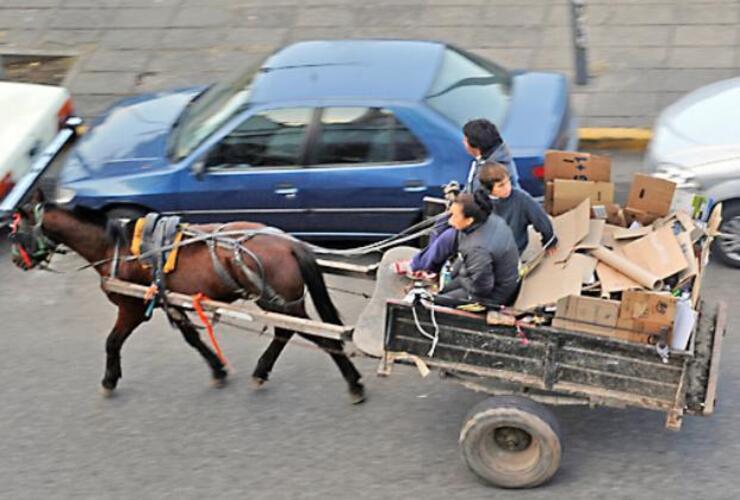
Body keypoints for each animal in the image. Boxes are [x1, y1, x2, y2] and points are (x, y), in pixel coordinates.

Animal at [10, 193, 368, 404]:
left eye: (15, 232)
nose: (16, 261)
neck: (116, 248)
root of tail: (291, 243)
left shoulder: (132, 306)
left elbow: (112, 342)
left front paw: (109, 380)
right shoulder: (170, 300)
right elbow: (191, 337)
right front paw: (218, 370)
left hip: (280, 302)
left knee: (317, 336)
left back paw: (353, 382)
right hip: (281, 303)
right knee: (286, 331)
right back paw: (262, 371)